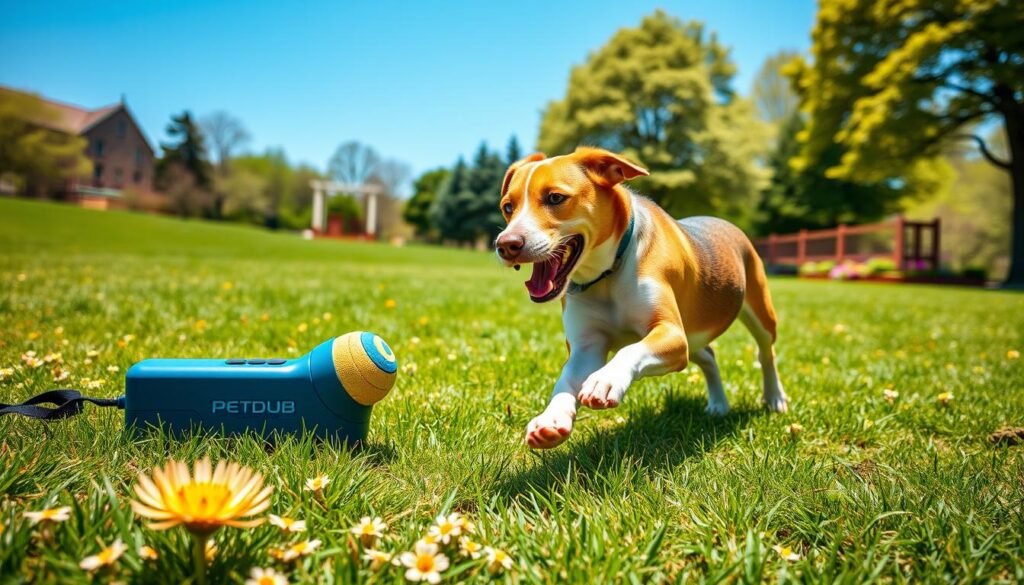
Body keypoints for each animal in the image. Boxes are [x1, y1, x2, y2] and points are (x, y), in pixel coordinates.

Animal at [497, 147, 790, 448]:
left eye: (555, 198)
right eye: (508, 207)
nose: (506, 245)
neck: (608, 274)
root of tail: (725, 222)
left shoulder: (671, 333)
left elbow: (630, 349)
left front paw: (606, 380)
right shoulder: (587, 346)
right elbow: (566, 380)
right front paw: (551, 418)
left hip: (758, 309)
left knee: (765, 351)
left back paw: (774, 397)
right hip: (694, 335)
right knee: (708, 355)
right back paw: (719, 404)